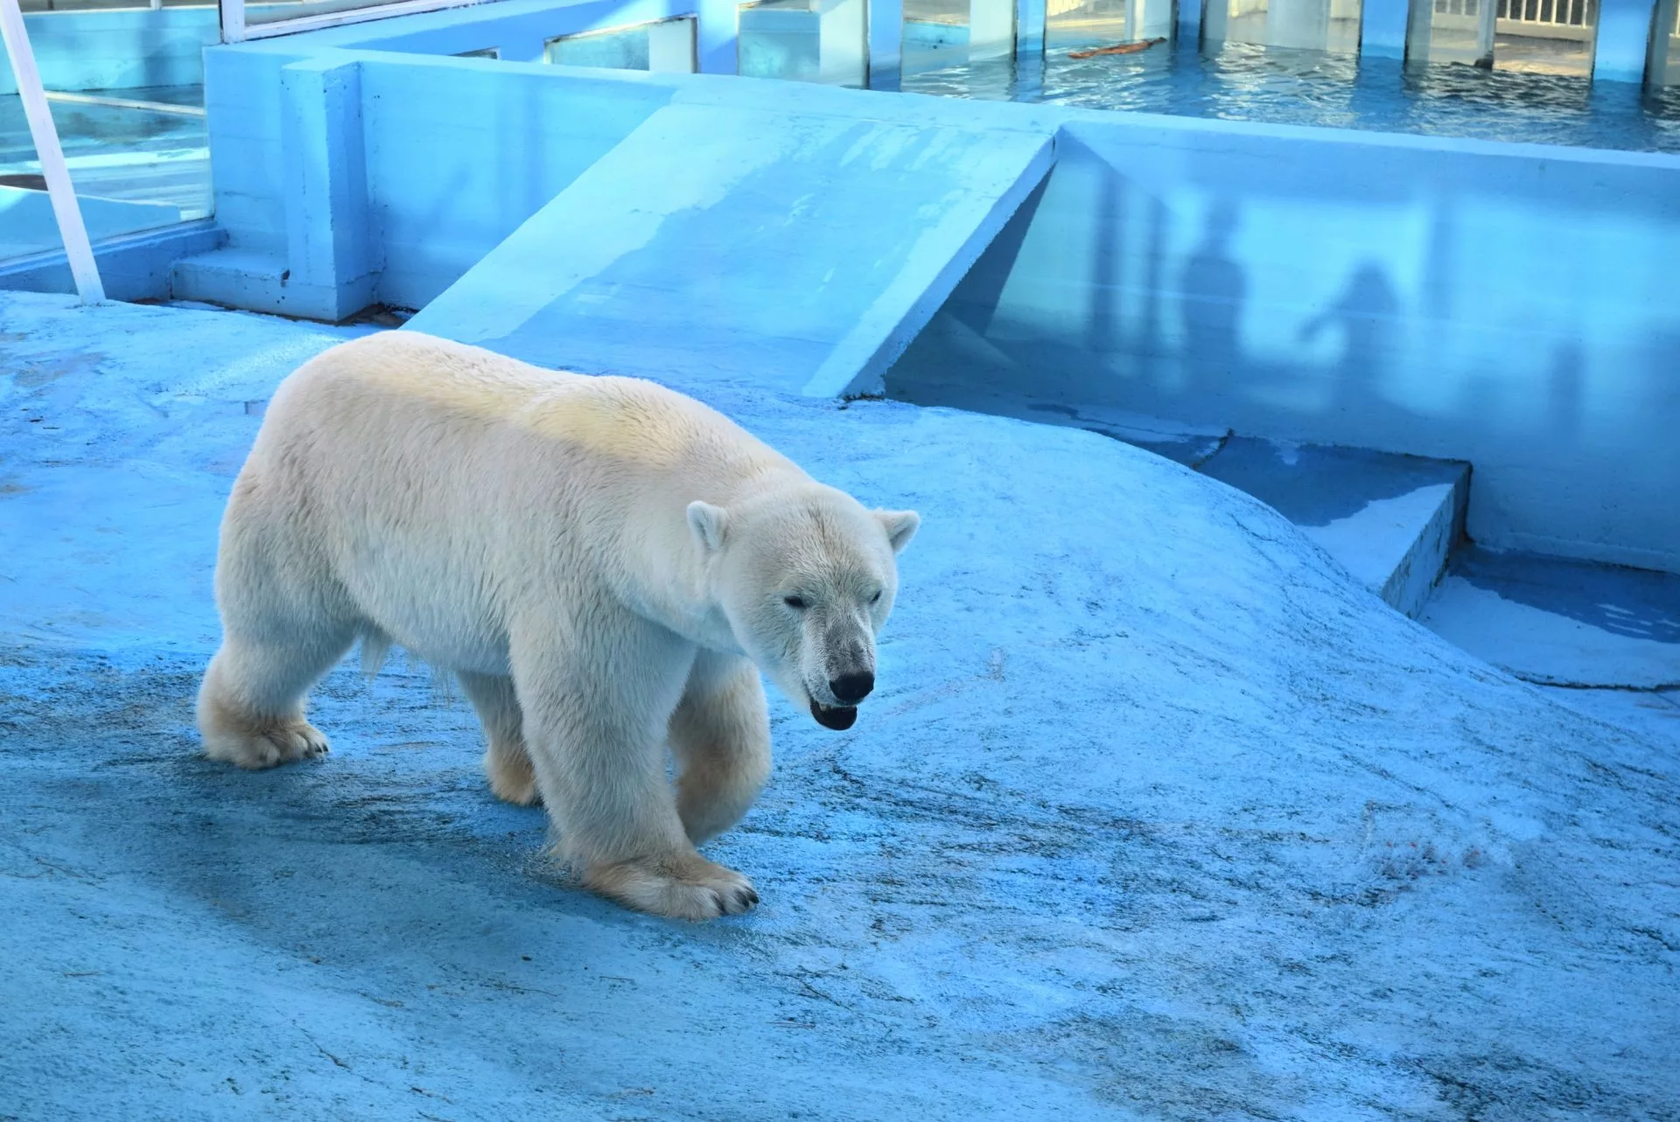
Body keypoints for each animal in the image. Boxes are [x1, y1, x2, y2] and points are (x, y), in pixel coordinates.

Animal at [203, 332, 927, 920]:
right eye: (795, 599)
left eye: (874, 593)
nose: (852, 679)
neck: (640, 475)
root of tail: (305, 370)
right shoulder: (593, 578)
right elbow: (600, 717)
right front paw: (699, 884)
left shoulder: (688, 619)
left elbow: (727, 727)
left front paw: (689, 808)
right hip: (308, 504)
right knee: (285, 631)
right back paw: (269, 736)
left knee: (496, 672)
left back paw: (527, 782)